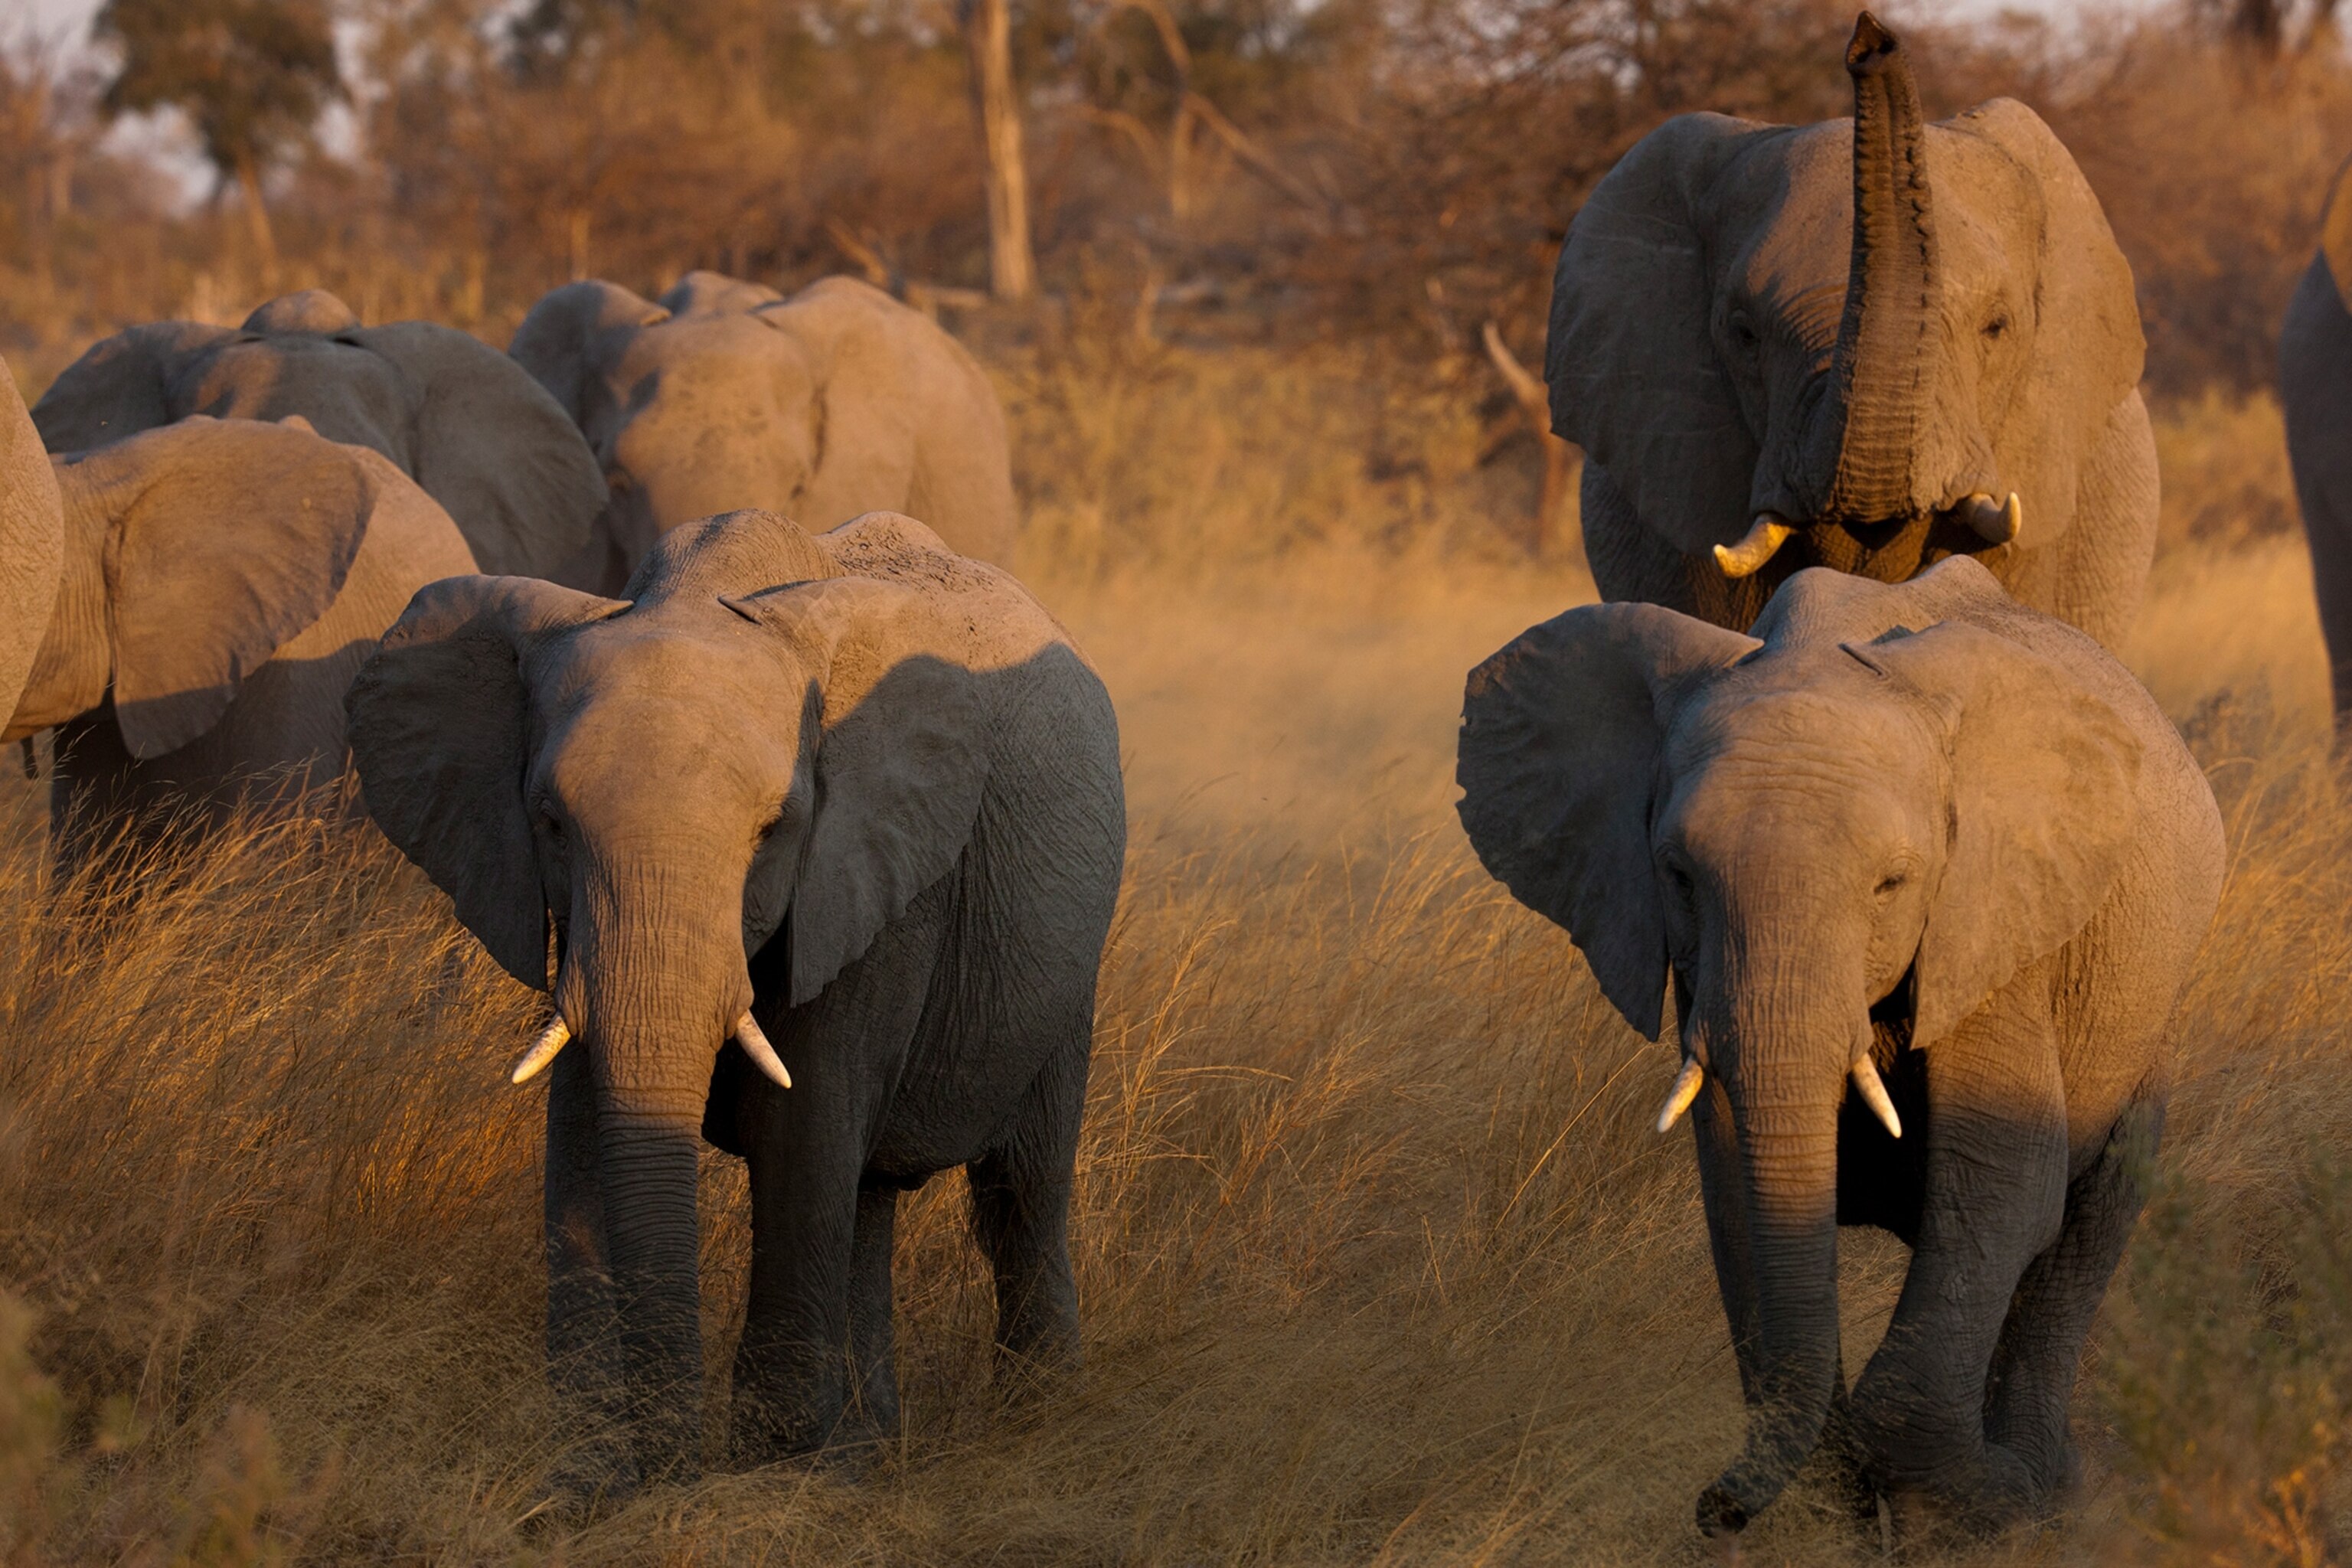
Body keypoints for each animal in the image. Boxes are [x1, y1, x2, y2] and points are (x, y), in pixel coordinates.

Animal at [343, 507, 1123, 1486]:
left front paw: (769, 1470)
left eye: (773, 830)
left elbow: (805, 1125)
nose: (672, 1471)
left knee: (1020, 1188)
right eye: (550, 823)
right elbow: (584, 1123)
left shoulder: (876, 879)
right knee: (870, 1196)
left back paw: (1034, 1423)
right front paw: (592, 1478)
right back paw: (865, 1454)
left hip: (1067, 964)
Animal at [1456, 556, 2223, 1539]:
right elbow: (1737, 1192)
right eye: (1677, 875)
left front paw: (1981, 1501)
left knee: (2089, 1226)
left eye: (1893, 883)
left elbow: (2008, 1179)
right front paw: (1844, 1511)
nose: (1710, 1508)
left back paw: (2048, 1486)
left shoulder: (1993, 918)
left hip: (2149, 1009)